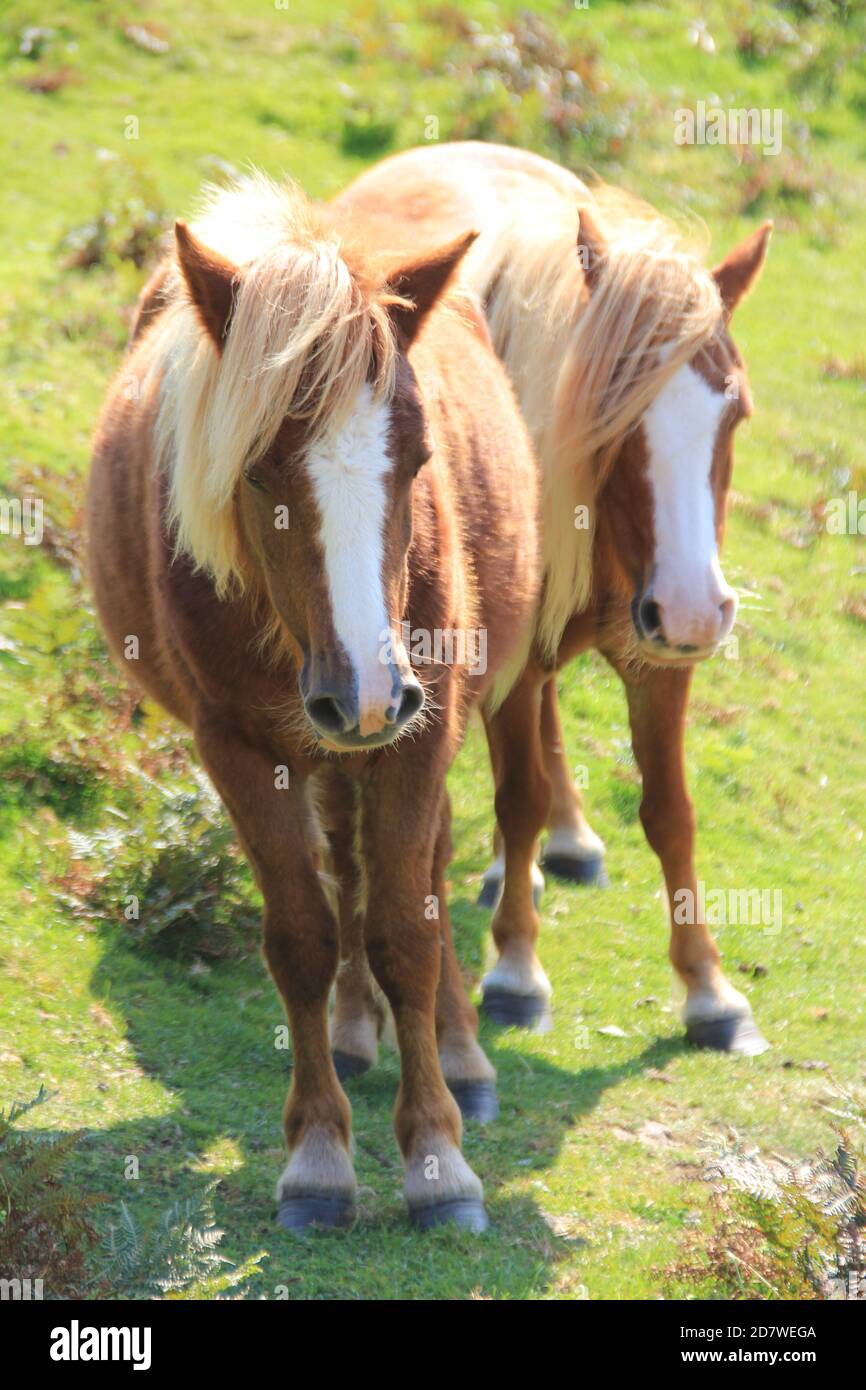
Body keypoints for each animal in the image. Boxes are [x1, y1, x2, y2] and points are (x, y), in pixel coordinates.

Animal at [84, 179, 539, 1234]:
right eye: (257, 470)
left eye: (419, 456)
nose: (367, 690)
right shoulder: (242, 749)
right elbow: (303, 934)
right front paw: (322, 1159)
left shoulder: (416, 739)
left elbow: (408, 931)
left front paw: (438, 1161)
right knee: (346, 870)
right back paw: (353, 1031)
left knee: (414, 877)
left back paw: (459, 1054)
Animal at [337, 141, 772, 1050]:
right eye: (614, 415)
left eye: (735, 413)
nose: (692, 610)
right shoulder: (515, 663)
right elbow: (518, 796)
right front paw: (515, 973)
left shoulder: (659, 663)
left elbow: (671, 811)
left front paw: (710, 990)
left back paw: (558, 851)